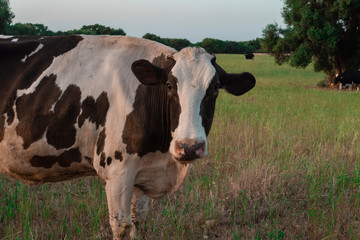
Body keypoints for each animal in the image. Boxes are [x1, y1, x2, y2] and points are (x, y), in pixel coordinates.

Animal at [0, 34, 255, 239]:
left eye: (215, 88)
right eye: (170, 86)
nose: (190, 147)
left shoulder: (142, 173)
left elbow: (138, 222)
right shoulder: (116, 171)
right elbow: (122, 227)